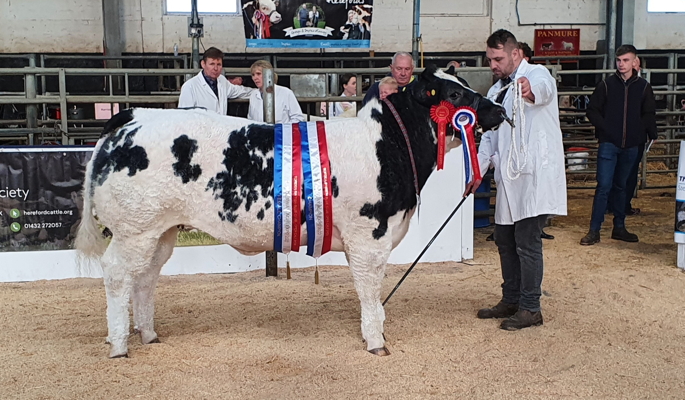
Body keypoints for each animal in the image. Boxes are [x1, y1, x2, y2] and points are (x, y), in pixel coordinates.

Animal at [76, 64, 502, 358]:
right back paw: (119, 344)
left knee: (146, 277)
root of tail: (131, 116)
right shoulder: (369, 237)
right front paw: (376, 341)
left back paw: (149, 333)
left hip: (159, 229)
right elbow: (369, 291)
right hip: (134, 228)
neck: (388, 145)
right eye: (453, 93)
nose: (498, 109)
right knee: (117, 275)